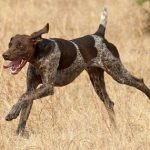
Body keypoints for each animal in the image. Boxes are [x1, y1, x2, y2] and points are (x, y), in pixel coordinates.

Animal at [2, 7, 150, 135]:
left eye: (20, 46)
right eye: (10, 44)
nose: (4, 55)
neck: (39, 54)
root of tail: (99, 35)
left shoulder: (47, 87)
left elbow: (23, 97)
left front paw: (12, 113)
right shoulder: (32, 87)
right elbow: (24, 111)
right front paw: (19, 133)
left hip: (118, 73)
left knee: (140, 82)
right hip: (97, 82)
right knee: (109, 103)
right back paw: (114, 129)